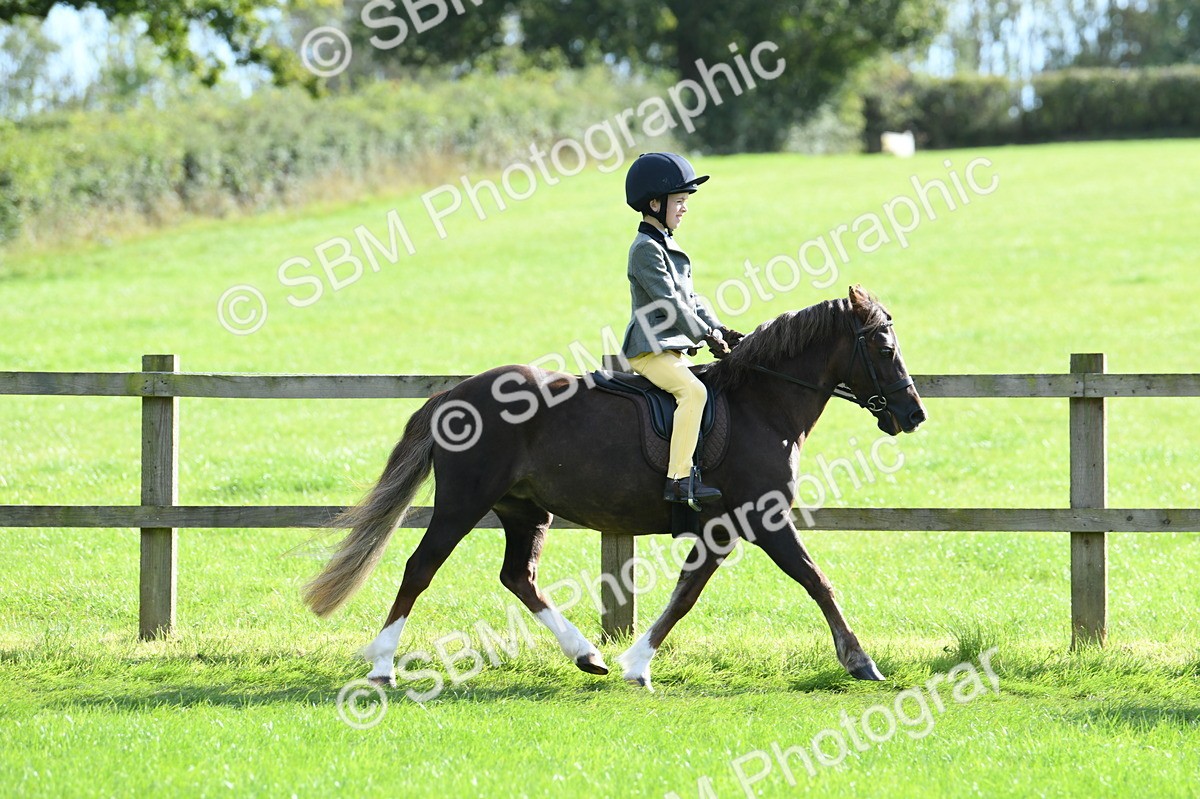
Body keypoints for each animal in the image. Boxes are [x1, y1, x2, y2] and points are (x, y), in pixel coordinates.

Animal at [303, 285, 927, 690]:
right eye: (884, 348)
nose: (913, 414)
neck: (763, 404)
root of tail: (453, 396)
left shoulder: (723, 528)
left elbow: (686, 592)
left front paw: (633, 664)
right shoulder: (762, 517)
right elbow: (814, 581)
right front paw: (861, 662)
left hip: (524, 511)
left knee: (518, 577)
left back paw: (587, 657)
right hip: (462, 504)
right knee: (420, 568)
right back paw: (382, 666)